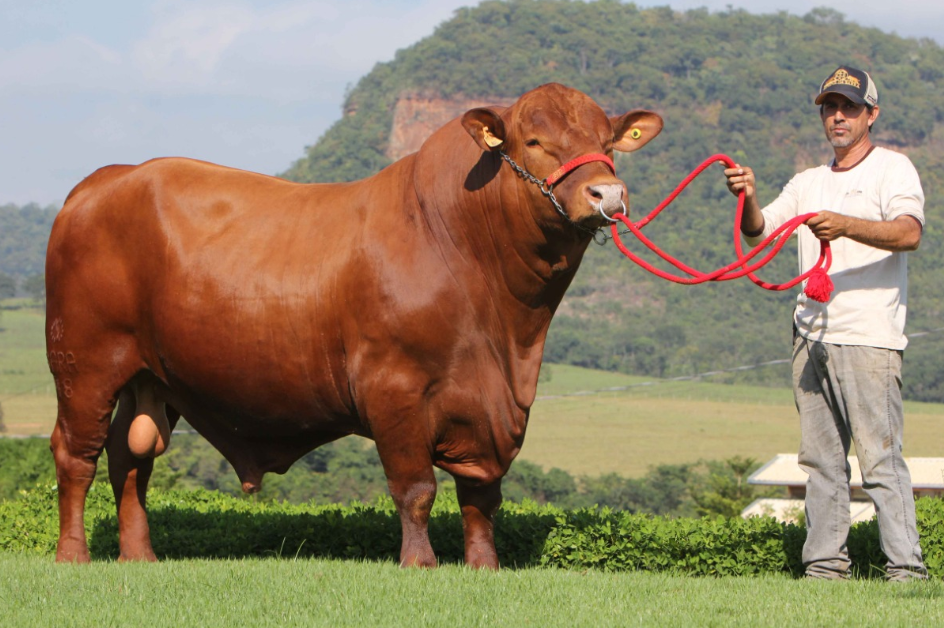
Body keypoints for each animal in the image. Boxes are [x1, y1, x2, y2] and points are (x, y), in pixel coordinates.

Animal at [46, 81, 664, 568]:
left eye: (607, 142)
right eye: (534, 141)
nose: (607, 193)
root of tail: (104, 181)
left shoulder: (489, 405)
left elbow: (481, 497)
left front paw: (482, 565)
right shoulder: (394, 388)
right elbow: (415, 488)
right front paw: (420, 563)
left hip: (152, 375)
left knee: (131, 457)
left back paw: (139, 555)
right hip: (84, 363)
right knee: (77, 454)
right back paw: (73, 554)